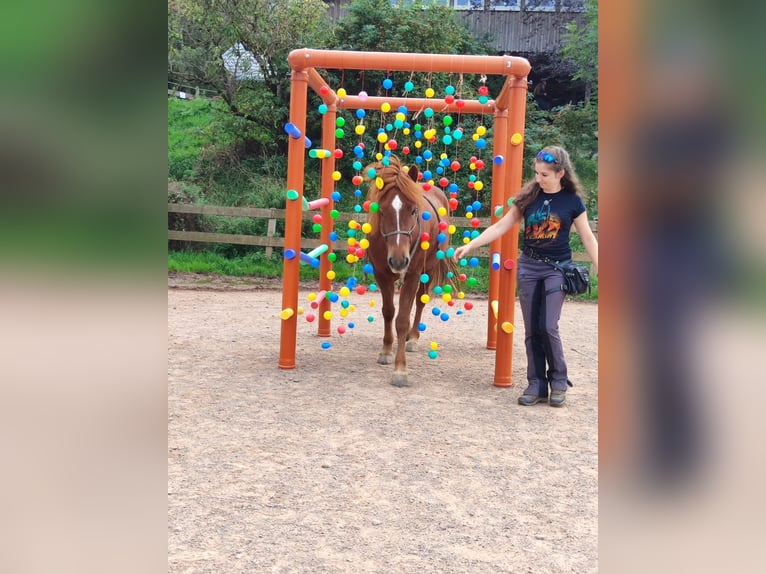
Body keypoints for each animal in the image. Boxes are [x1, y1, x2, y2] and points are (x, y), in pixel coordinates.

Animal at [364, 156, 456, 388]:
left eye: (413, 210)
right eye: (382, 211)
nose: (398, 260)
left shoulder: (413, 275)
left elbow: (403, 320)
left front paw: (400, 370)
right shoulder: (382, 274)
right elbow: (388, 312)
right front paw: (386, 351)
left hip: (428, 270)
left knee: (420, 302)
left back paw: (412, 338)